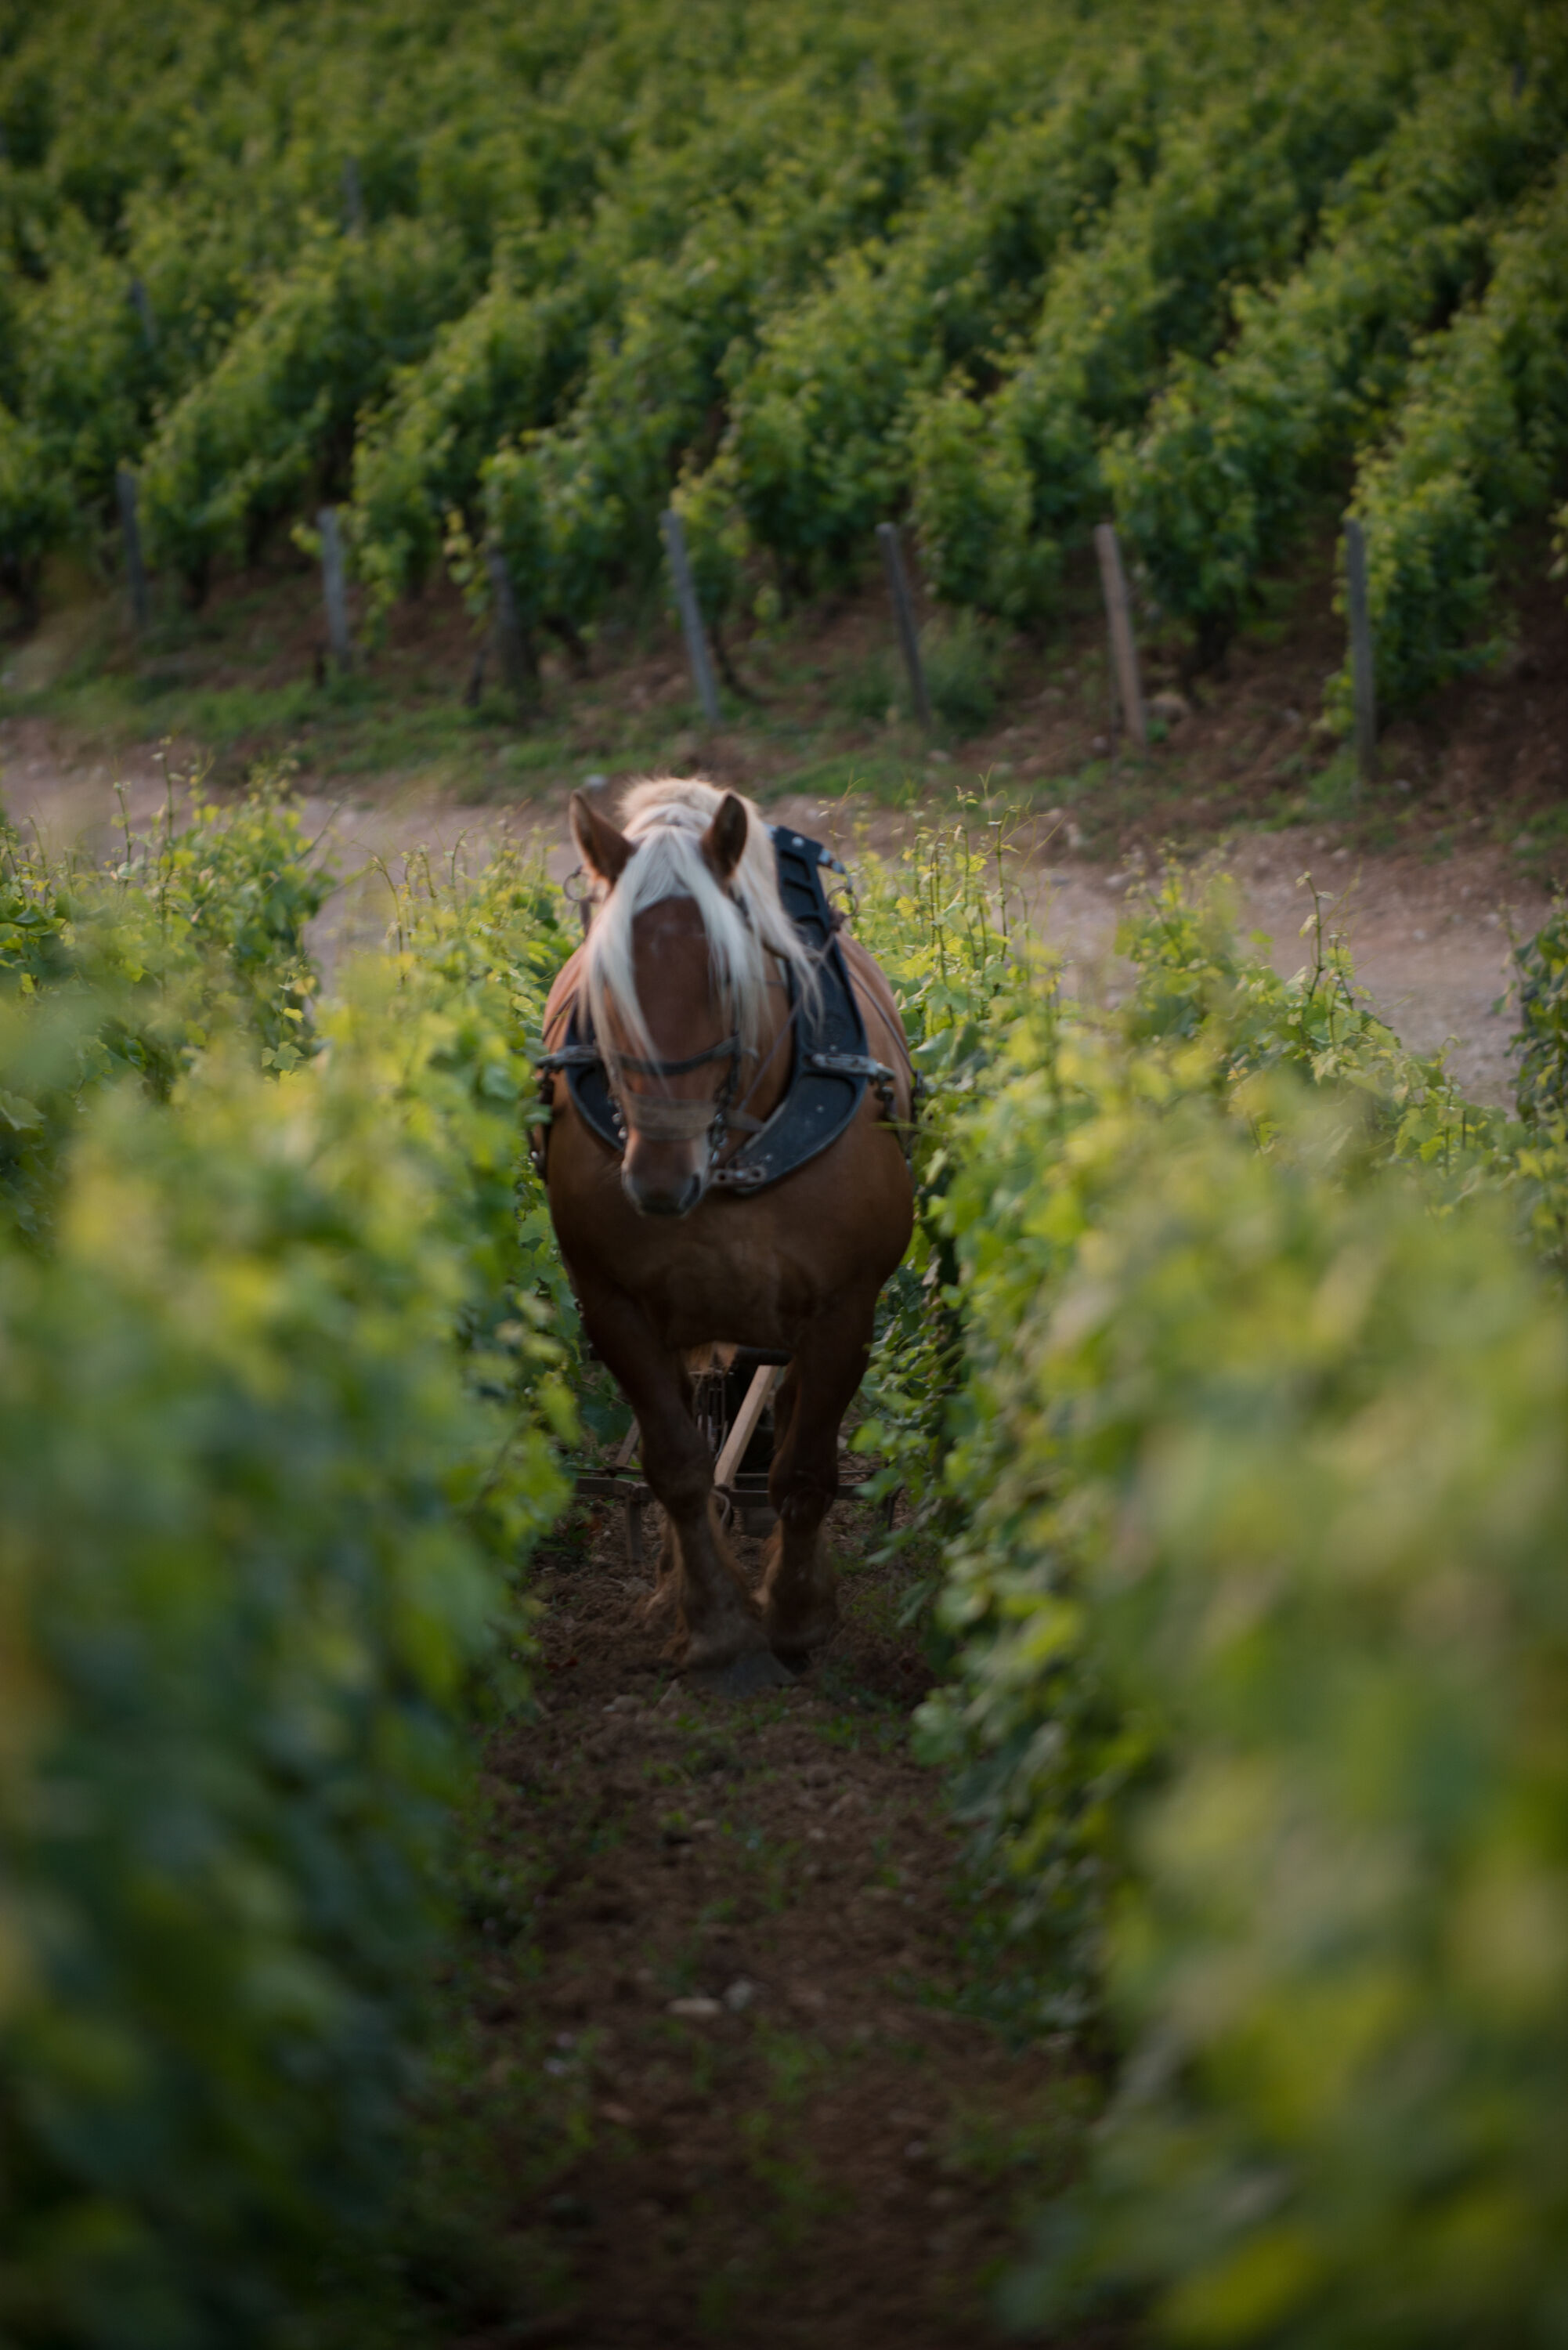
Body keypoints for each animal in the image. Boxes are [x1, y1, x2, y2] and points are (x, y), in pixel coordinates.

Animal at [540, 780, 912, 1683]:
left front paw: (798, 1616)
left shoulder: (844, 1309)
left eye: (728, 975)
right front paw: (710, 1621)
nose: (657, 1178)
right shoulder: (613, 1306)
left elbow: (804, 1471)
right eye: (603, 983)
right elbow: (675, 1466)